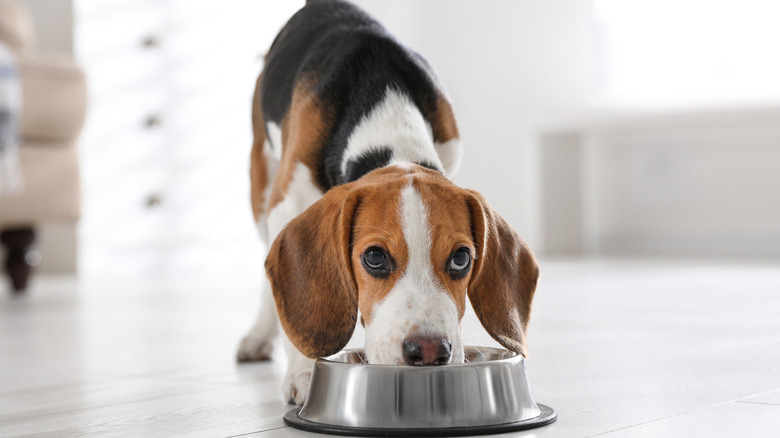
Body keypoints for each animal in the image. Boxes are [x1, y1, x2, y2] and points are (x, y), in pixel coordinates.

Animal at [238, 0, 540, 406]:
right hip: (261, 185)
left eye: (462, 259)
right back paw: (259, 334)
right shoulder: (287, 203)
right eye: (375, 258)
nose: (429, 351)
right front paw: (302, 371)